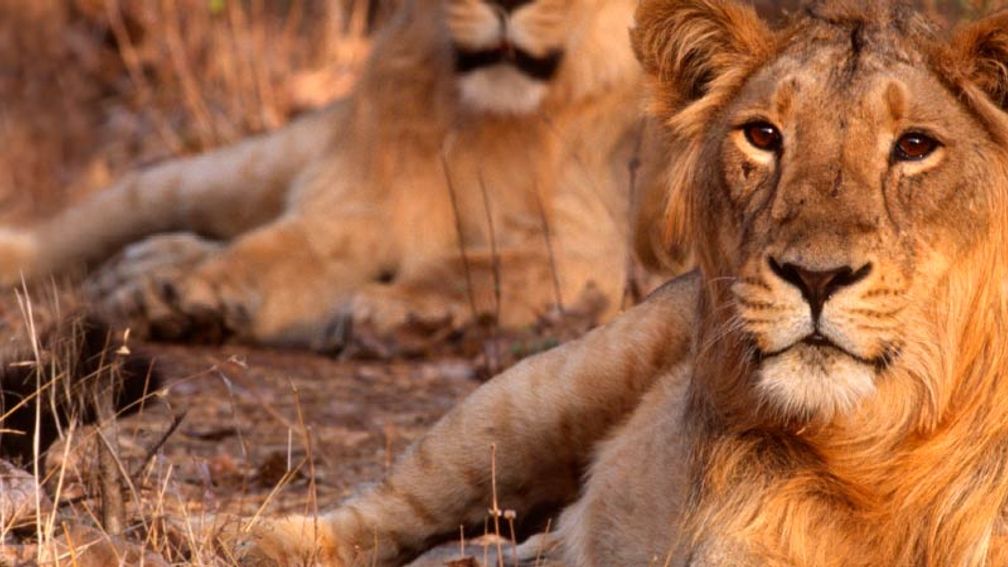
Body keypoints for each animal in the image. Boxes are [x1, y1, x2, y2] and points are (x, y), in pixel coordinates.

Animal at [0, 0, 660, 351]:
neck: (491, 117)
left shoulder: (592, 254)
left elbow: (481, 267)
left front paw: (399, 308)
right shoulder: (358, 210)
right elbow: (277, 250)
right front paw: (195, 290)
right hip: (243, 168)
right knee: (117, 205)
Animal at [229, 1, 1008, 565]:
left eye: (914, 146)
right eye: (762, 135)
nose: (815, 276)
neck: (879, 457)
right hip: (530, 398)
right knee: (393, 506)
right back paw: (259, 539)